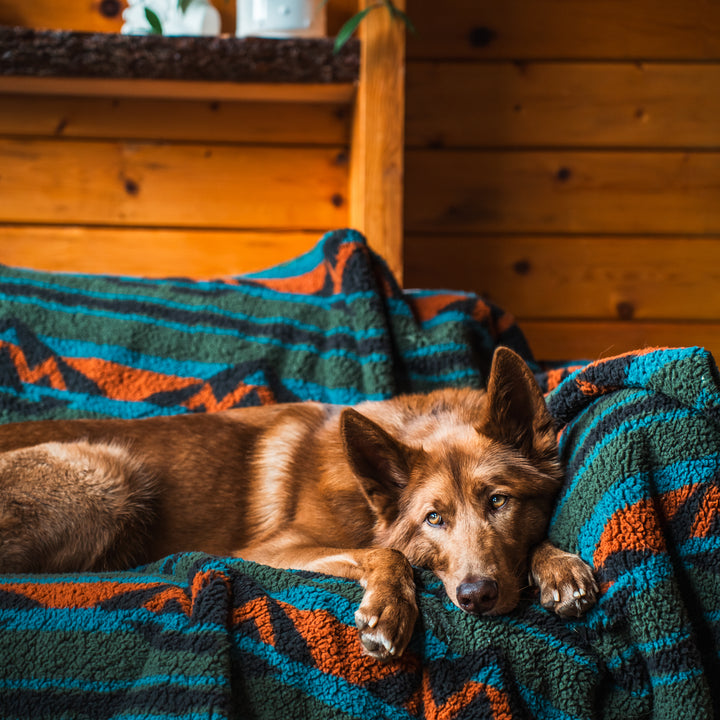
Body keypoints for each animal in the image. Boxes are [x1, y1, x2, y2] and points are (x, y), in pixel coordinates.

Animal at [0, 348, 596, 660]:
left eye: (499, 501)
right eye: (434, 519)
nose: (476, 597)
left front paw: (557, 566)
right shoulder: (277, 548)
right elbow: (388, 553)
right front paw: (390, 607)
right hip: (111, 474)